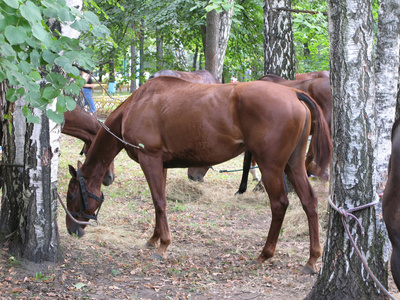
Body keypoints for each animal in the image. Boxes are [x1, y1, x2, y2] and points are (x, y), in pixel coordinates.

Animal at [64, 75, 330, 274]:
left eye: (71, 196)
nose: (72, 229)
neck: (138, 105)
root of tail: (293, 94)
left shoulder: (150, 160)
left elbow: (159, 202)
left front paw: (163, 245)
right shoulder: (160, 164)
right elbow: (158, 203)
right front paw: (154, 239)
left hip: (270, 166)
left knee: (279, 204)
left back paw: (265, 254)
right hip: (293, 165)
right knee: (309, 201)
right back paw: (312, 259)